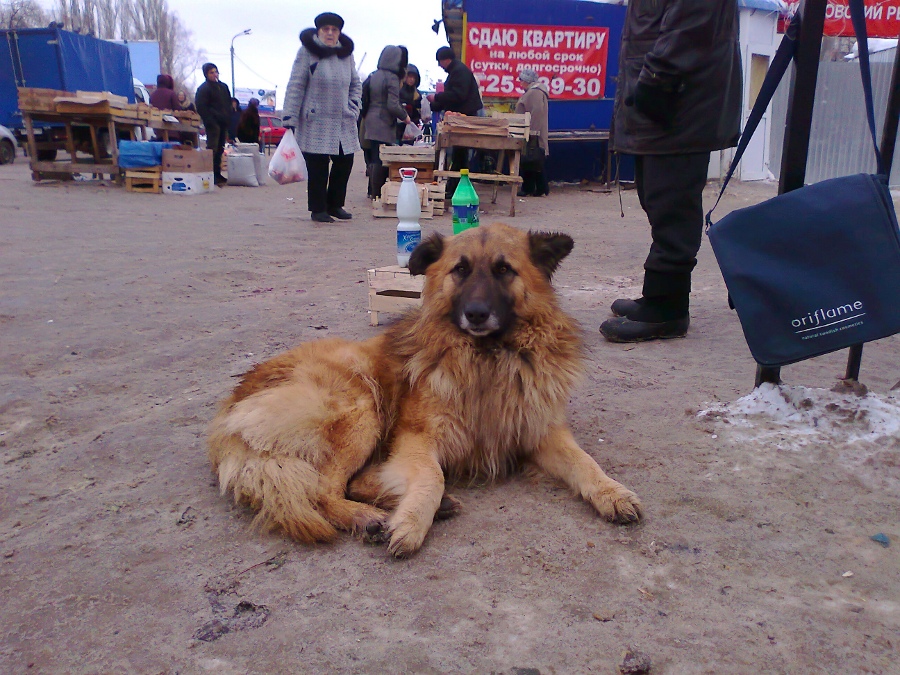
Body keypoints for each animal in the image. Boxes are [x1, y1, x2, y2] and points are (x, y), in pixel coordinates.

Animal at [209, 224, 648, 556]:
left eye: (504, 270)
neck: (488, 359)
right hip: (363, 408)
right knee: (324, 490)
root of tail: (232, 406)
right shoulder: (417, 440)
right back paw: (370, 518)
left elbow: (585, 462)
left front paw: (612, 492)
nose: (476, 314)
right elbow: (432, 477)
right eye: (460, 270)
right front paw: (411, 522)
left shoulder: (540, 431)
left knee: (354, 481)